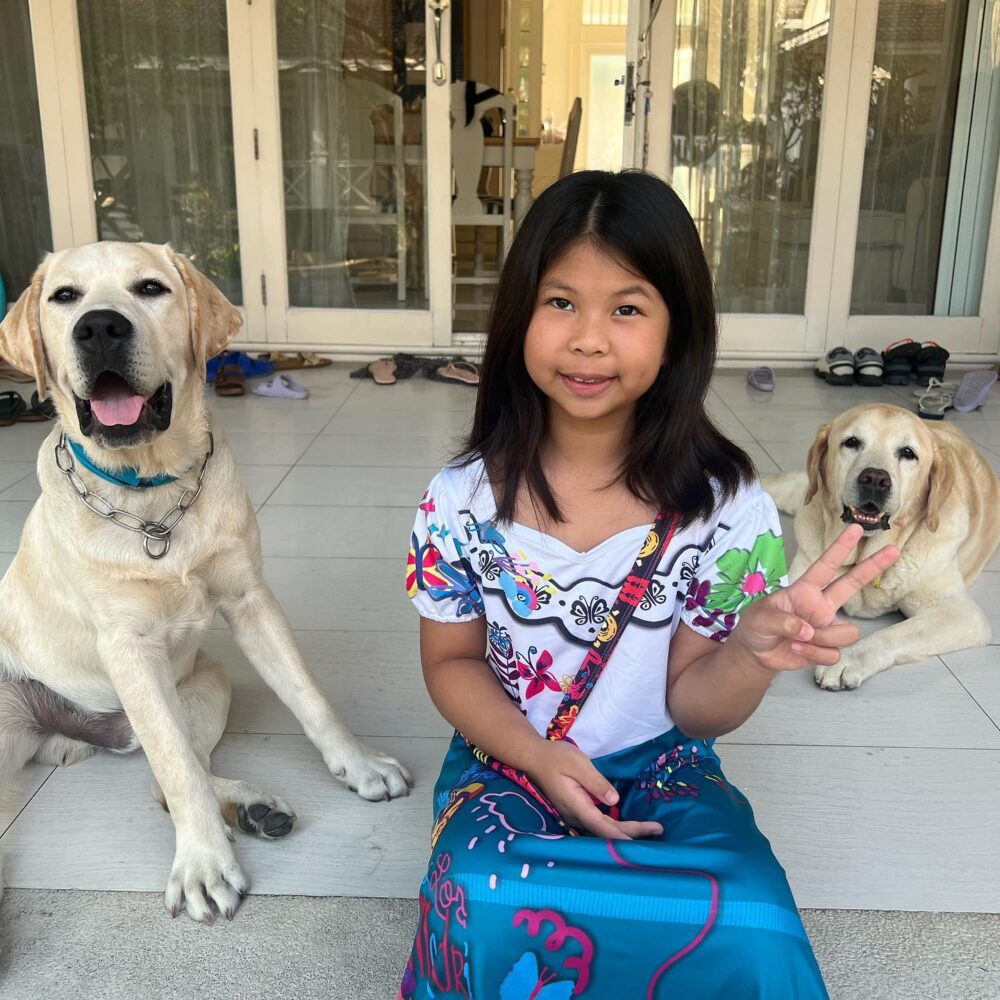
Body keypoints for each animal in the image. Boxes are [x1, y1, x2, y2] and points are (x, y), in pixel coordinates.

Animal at [0, 242, 412, 922]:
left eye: (150, 288)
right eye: (65, 297)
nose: (100, 327)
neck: (151, 495)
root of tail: (68, 731)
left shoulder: (251, 600)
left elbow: (309, 697)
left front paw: (358, 765)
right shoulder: (128, 649)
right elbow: (177, 768)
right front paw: (202, 865)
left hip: (208, 684)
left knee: (166, 777)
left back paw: (250, 806)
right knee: (172, 773)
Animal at [763, 403, 999, 690]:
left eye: (907, 453)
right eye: (852, 442)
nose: (875, 479)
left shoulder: (960, 613)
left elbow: (895, 634)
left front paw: (846, 660)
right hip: (802, 490)